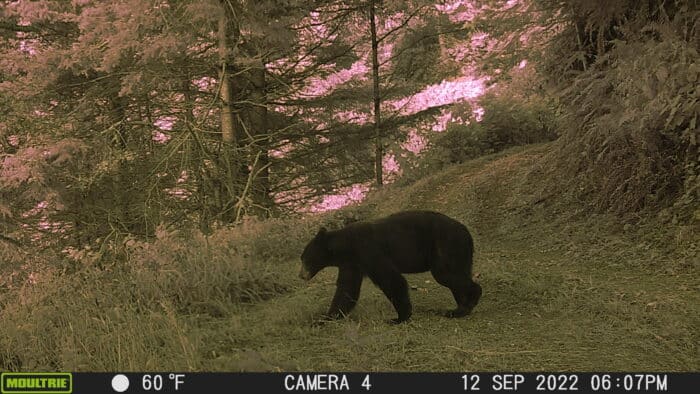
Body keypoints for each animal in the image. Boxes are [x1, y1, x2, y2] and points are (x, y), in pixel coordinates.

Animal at [300, 211, 482, 322]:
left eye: (304, 259)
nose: (300, 275)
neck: (346, 246)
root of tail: (466, 232)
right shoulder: (351, 263)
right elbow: (346, 289)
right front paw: (325, 318)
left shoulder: (368, 251)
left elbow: (391, 280)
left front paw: (399, 318)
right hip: (460, 253)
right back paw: (457, 308)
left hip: (445, 245)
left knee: (446, 274)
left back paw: (468, 303)